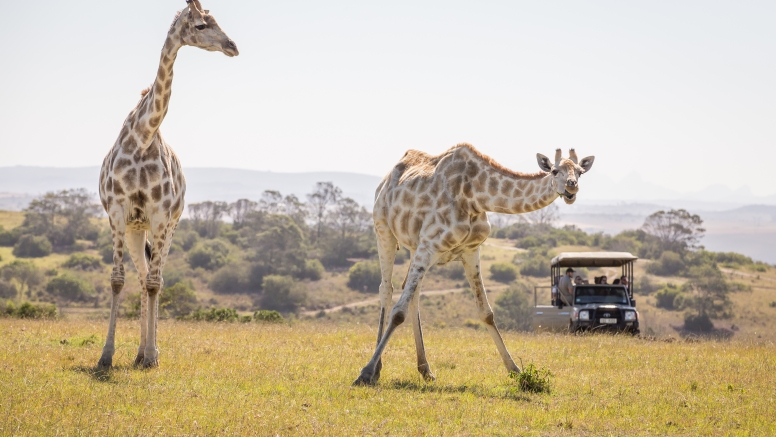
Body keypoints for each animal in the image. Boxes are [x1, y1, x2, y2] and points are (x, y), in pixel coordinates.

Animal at [96, 0, 238, 368]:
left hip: (168, 225)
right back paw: (136, 352)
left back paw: (147, 352)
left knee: (154, 277)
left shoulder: (161, 215)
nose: (233, 46)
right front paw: (106, 355)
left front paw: (151, 356)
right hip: (136, 228)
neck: (143, 136)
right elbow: (118, 280)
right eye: (202, 25)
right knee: (143, 274)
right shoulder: (116, 211)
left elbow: (155, 284)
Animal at [354, 144, 596, 384]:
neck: (474, 196)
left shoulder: (470, 251)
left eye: (580, 172)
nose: (571, 187)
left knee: (412, 292)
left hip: (414, 246)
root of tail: (385, 182)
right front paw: (365, 372)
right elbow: (398, 313)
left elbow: (486, 313)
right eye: (555, 171)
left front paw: (515, 370)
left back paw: (425, 369)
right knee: (387, 289)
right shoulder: (429, 245)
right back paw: (378, 369)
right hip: (383, 229)